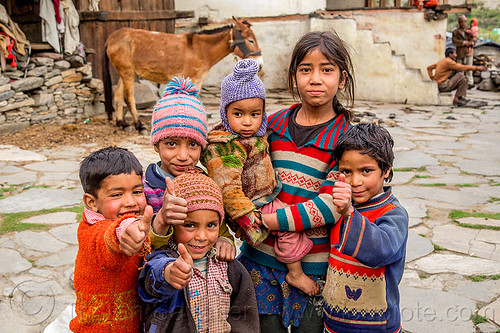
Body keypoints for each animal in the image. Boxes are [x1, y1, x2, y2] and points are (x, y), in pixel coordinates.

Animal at [103, 16, 264, 134]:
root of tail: (112, 38)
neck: (201, 49)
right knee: (128, 97)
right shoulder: (190, 77)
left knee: (117, 94)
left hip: (124, 71)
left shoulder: (198, 80)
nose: (260, 65)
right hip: (127, 71)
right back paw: (139, 125)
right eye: (251, 40)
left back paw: (121, 123)